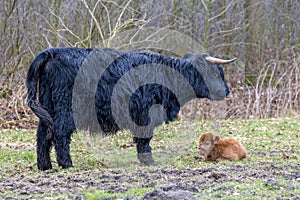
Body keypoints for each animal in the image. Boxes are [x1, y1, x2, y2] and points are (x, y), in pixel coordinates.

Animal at [27, 47, 236, 170]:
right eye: (216, 72)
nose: (227, 91)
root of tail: (53, 53)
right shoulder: (145, 112)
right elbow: (144, 138)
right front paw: (148, 161)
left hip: (47, 104)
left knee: (43, 133)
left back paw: (44, 165)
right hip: (65, 107)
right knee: (60, 133)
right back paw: (66, 164)